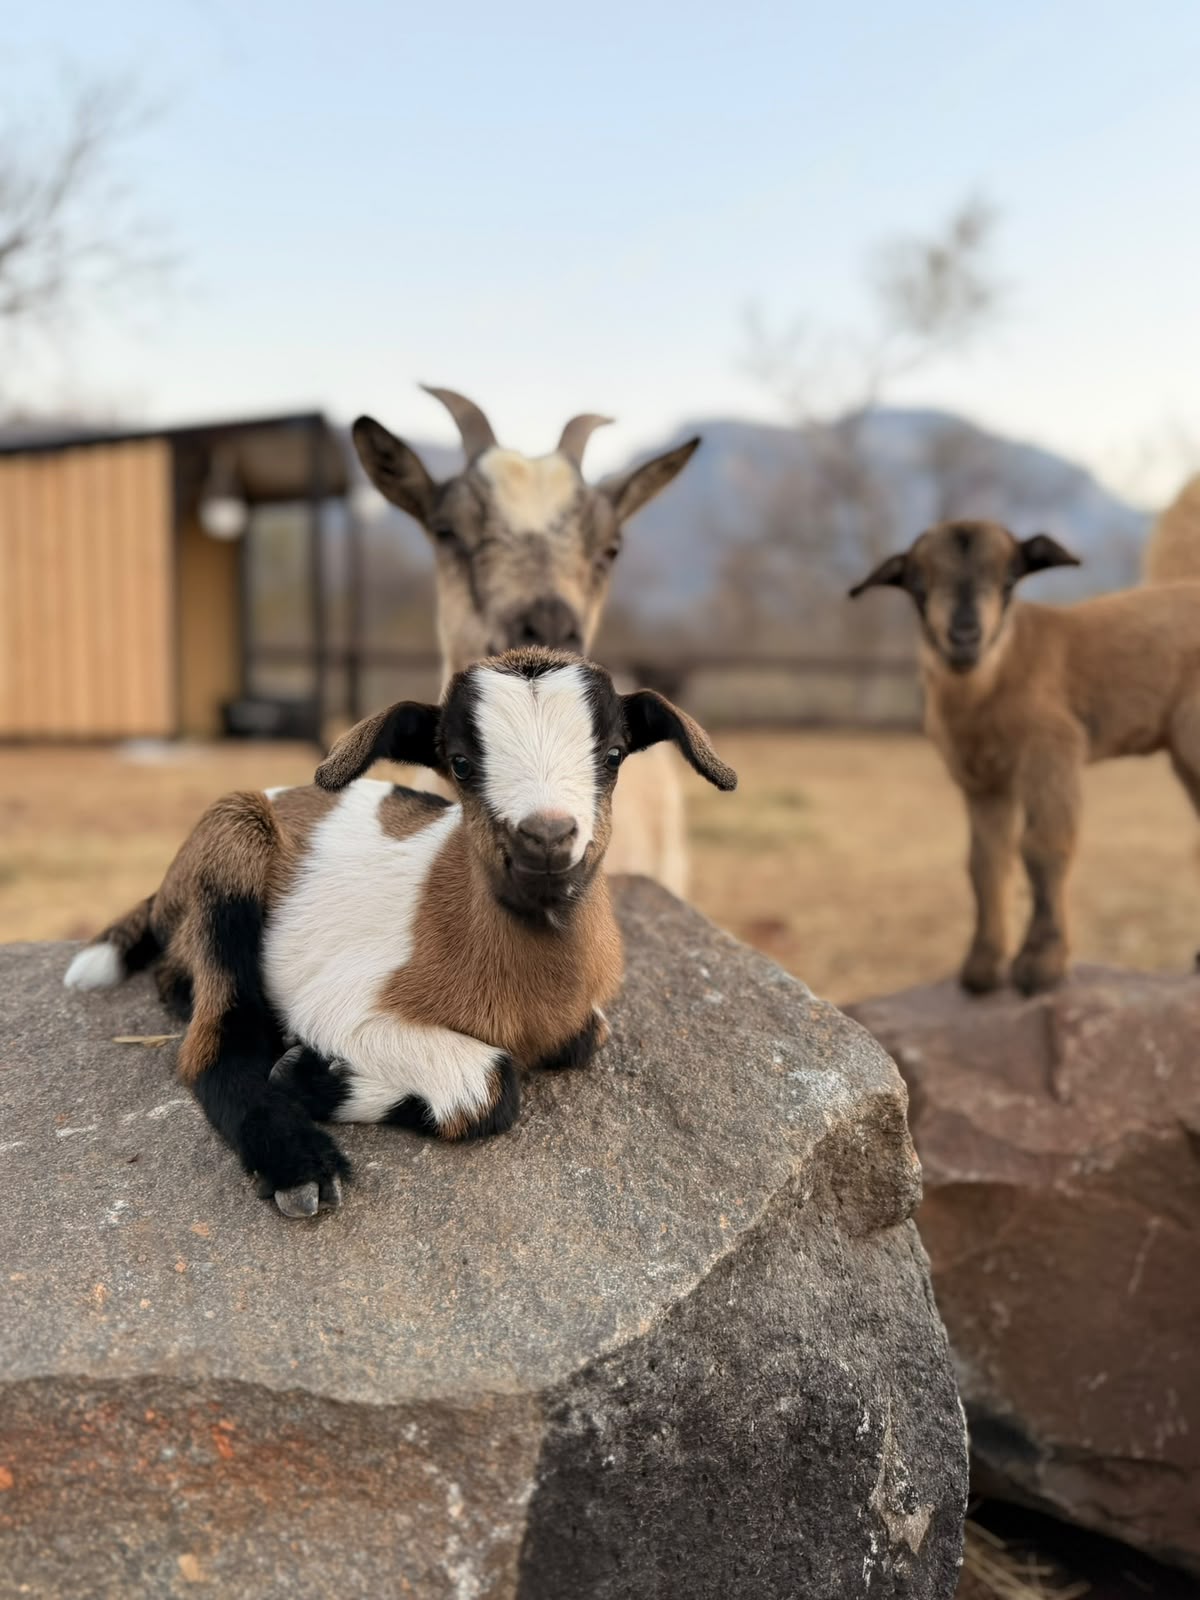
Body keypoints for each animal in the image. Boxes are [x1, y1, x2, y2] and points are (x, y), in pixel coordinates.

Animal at [65, 649, 737, 1216]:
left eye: (615, 755)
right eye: (461, 764)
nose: (545, 839)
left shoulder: (585, 1016)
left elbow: (586, 1038)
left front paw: (314, 1074)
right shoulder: (341, 1005)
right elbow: (491, 1087)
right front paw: (309, 1075)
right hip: (230, 847)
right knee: (215, 1041)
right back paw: (299, 1167)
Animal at [850, 518, 1200, 995]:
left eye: (1010, 580)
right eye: (918, 585)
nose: (965, 636)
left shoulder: (1051, 748)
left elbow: (1042, 847)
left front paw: (1040, 967)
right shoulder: (983, 779)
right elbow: (986, 862)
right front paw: (981, 969)